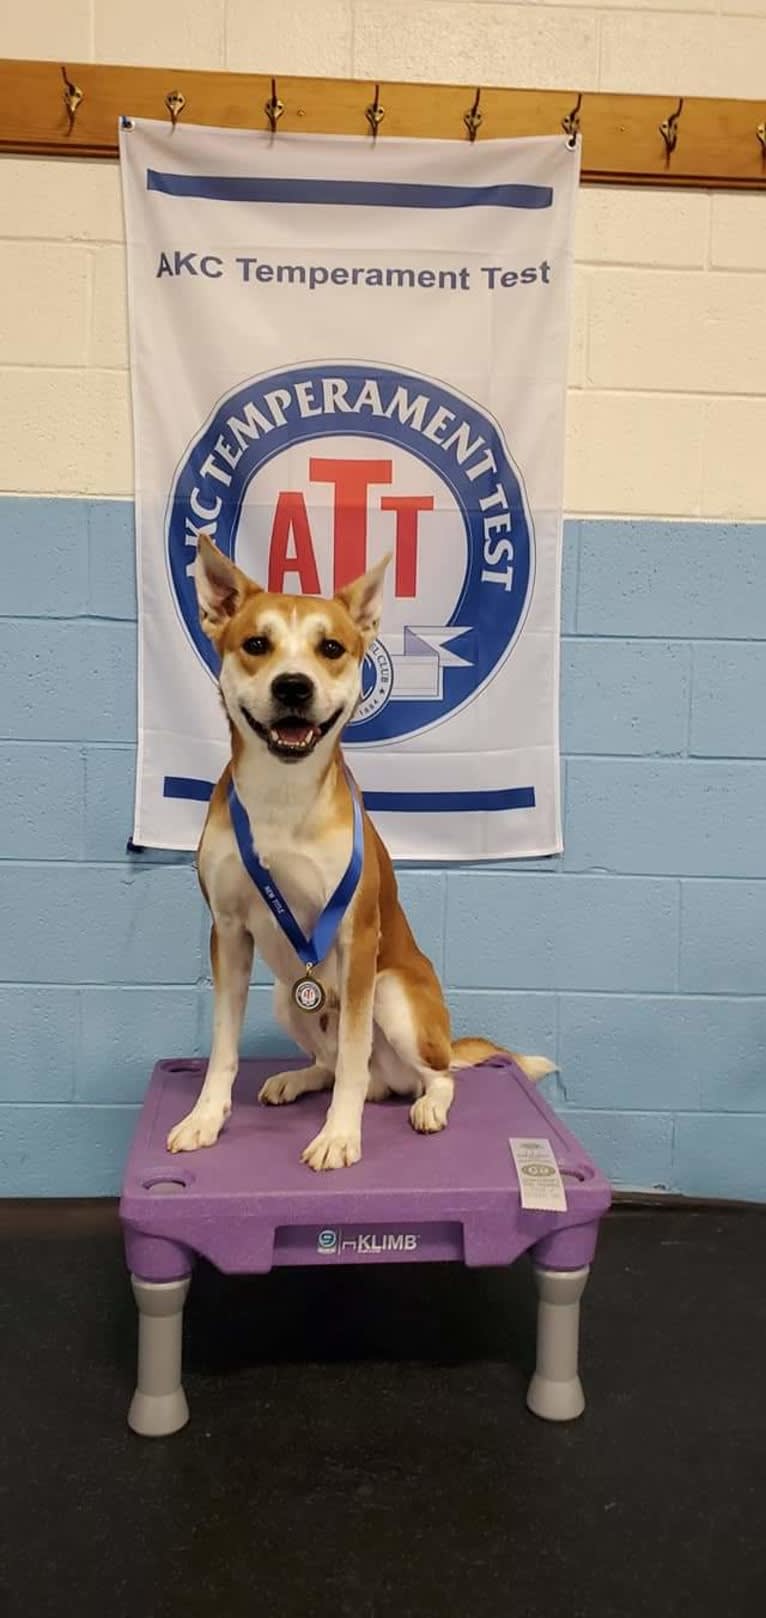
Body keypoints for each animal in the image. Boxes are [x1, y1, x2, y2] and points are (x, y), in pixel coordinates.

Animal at [166, 537, 553, 1171]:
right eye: (256, 644)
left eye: (330, 648)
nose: (293, 686)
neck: (283, 795)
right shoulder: (228, 932)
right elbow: (224, 1049)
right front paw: (205, 1118)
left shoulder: (355, 936)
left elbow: (350, 1053)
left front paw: (339, 1135)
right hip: (286, 998)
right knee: (334, 1065)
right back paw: (296, 1079)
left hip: (394, 995)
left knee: (432, 1076)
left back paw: (427, 1105)